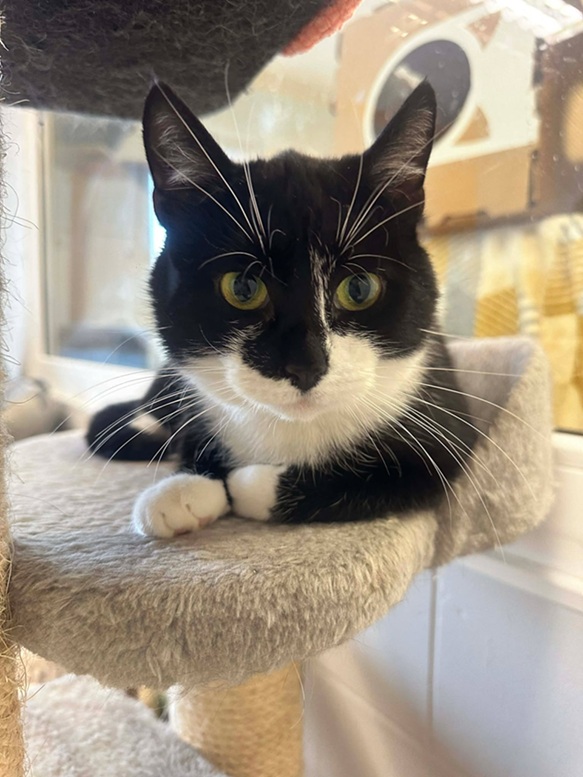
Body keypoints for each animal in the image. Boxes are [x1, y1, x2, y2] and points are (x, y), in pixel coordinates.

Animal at [86, 80, 478, 538]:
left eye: (359, 288)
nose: (305, 366)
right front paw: (183, 487)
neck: (291, 428)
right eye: (242, 287)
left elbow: (397, 476)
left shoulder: (447, 433)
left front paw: (247, 486)